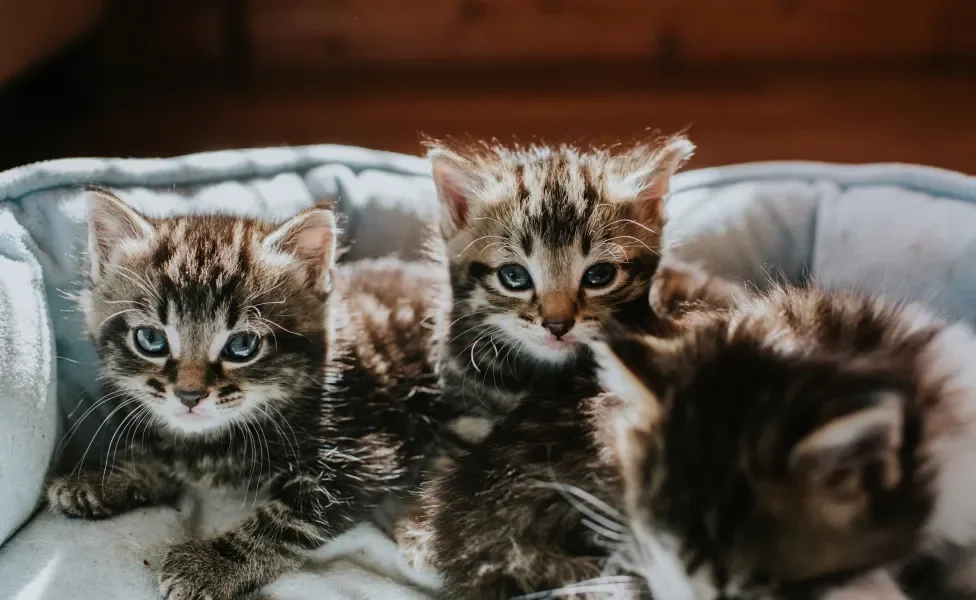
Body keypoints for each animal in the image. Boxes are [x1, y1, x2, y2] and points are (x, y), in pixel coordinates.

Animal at [47, 188, 456, 600]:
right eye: (151, 339)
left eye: (242, 346)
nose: (189, 395)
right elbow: (166, 457)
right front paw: (99, 480)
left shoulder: (365, 456)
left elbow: (287, 520)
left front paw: (212, 565)